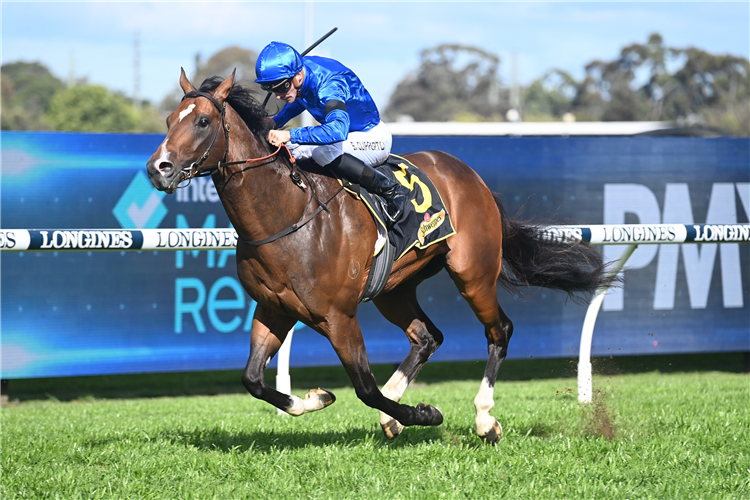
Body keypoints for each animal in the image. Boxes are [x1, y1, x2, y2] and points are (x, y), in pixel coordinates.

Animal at [147, 68, 612, 444]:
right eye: (169, 120)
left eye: (203, 121)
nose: (158, 168)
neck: (288, 215)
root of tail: (470, 175)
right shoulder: (274, 308)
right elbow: (253, 380)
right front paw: (317, 398)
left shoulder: (338, 317)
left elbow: (365, 388)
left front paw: (424, 412)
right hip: (394, 288)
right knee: (427, 337)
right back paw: (400, 409)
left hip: (473, 272)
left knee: (499, 330)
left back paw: (483, 420)